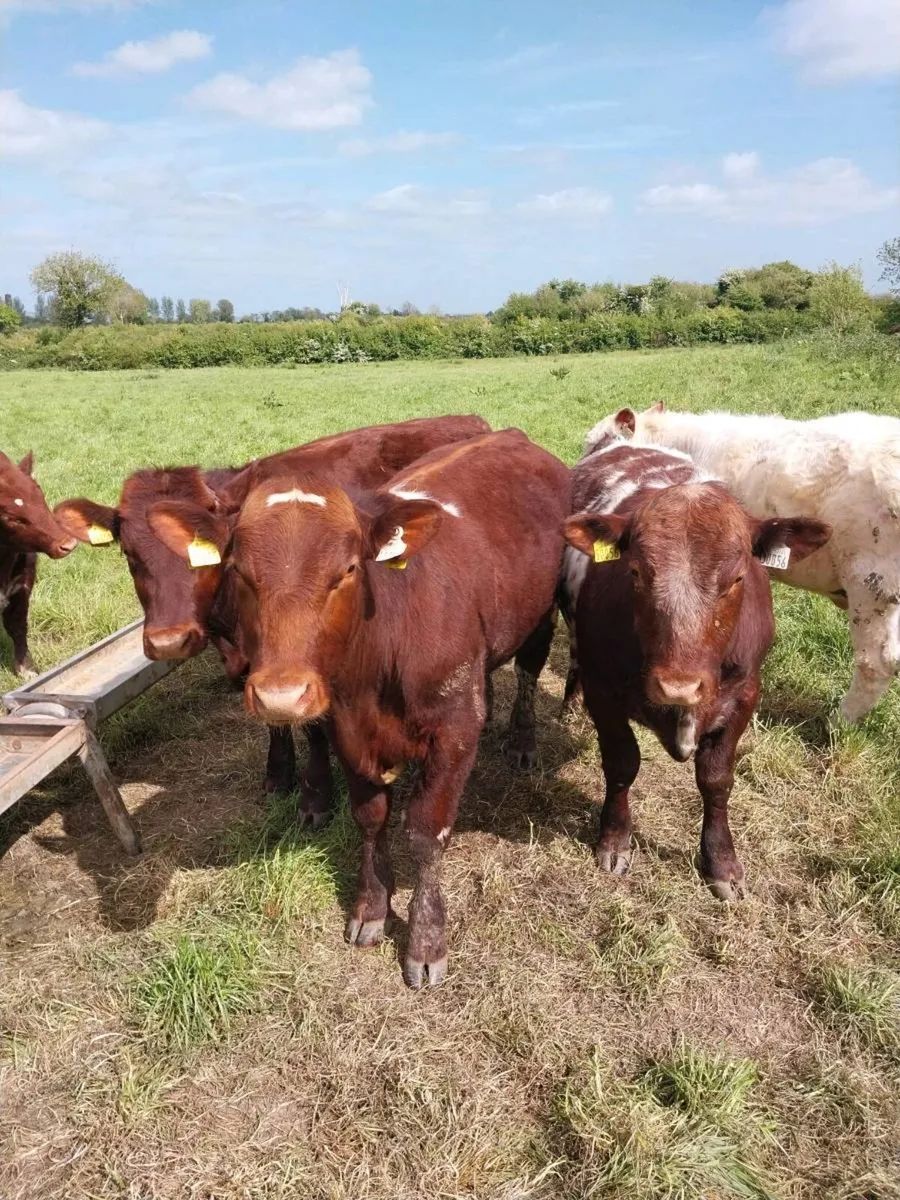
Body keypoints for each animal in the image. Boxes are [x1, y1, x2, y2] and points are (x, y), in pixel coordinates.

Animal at [0, 451, 77, 678]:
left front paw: (27, 669)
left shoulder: (23, 584)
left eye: (39, 495)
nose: (67, 543)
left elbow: (17, 625)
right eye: (9, 517)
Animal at [53, 415, 490, 820]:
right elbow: (271, 718)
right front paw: (278, 774)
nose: (169, 640)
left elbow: (313, 725)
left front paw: (315, 794)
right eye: (128, 553)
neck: (228, 627)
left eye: (207, 558)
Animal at [149, 428, 571, 987]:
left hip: (542, 615)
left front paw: (425, 941)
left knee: (528, 670)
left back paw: (522, 741)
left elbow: (426, 833)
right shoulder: (346, 730)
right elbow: (369, 818)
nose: (281, 694)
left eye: (347, 570)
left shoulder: (454, 732)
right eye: (238, 571)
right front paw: (371, 907)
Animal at [562, 429, 830, 900]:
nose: (678, 687)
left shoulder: (744, 696)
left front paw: (721, 862)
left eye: (738, 578)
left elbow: (716, 779)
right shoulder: (603, 691)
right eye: (635, 572)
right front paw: (614, 840)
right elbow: (621, 764)